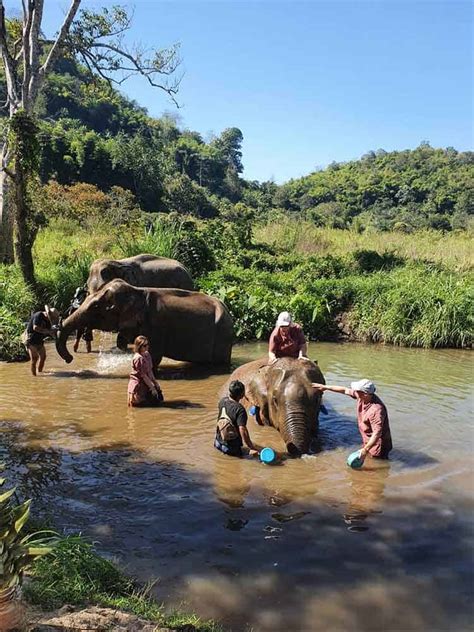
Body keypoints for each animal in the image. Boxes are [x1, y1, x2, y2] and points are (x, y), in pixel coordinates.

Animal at [56, 280, 234, 366]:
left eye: (95, 307)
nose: (69, 359)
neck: (137, 291)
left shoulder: (155, 326)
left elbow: (153, 356)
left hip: (222, 336)